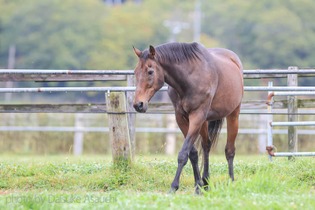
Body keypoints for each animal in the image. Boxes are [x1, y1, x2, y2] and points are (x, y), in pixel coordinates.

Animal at [133, 42, 244, 194]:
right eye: (135, 72)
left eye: (150, 71)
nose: (138, 104)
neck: (189, 79)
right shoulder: (181, 118)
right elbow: (193, 154)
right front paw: (198, 185)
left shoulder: (197, 116)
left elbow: (183, 154)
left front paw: (174, 187)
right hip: (204, 122)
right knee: (206, 146)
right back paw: (206, 182)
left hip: (233, 115)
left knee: (230, 150)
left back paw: (231, 181)